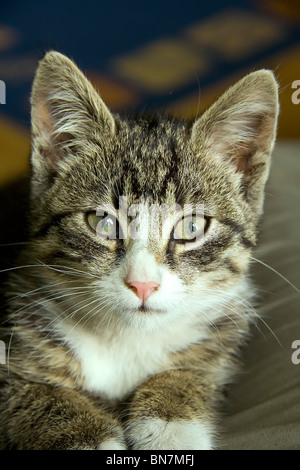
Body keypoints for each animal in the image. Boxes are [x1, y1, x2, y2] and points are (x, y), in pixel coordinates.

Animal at [0, 50, 278, 448]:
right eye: (102, 222)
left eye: (192, 227)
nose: (143, 284)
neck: (125, 340)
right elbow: (33, 393)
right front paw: (86, 434)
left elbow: (194, 371)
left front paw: (171, 422)